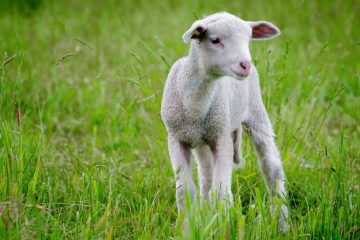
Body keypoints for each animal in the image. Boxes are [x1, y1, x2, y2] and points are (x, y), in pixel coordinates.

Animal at [162, 11, 288, 232]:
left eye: (248, 39)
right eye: (215, 40)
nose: (245, 65)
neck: (194, 106)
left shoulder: (221, 138)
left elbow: (221, 192)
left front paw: (223, 226)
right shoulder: (176, 138)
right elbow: (185, 191)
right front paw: (187, 229)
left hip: (255, 112)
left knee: (272, 169)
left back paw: (281, 223)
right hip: (203, 141)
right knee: (206, 178)